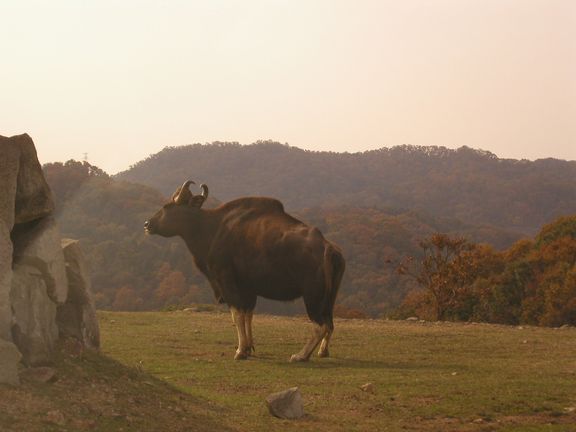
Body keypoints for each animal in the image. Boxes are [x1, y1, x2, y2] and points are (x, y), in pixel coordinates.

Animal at [143, 181, 344, 362]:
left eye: (167, 207)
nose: (147, 224)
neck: (212, 229)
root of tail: (327, 247)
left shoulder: (227, 282)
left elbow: (237, 315)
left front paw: (240, 351)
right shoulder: (248, 289)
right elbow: (248, 315)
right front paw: (248, 347)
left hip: (312, 296)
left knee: (320, 325)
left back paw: (301, 355)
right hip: (330, 296)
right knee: (330, 322)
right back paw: (322, 351)